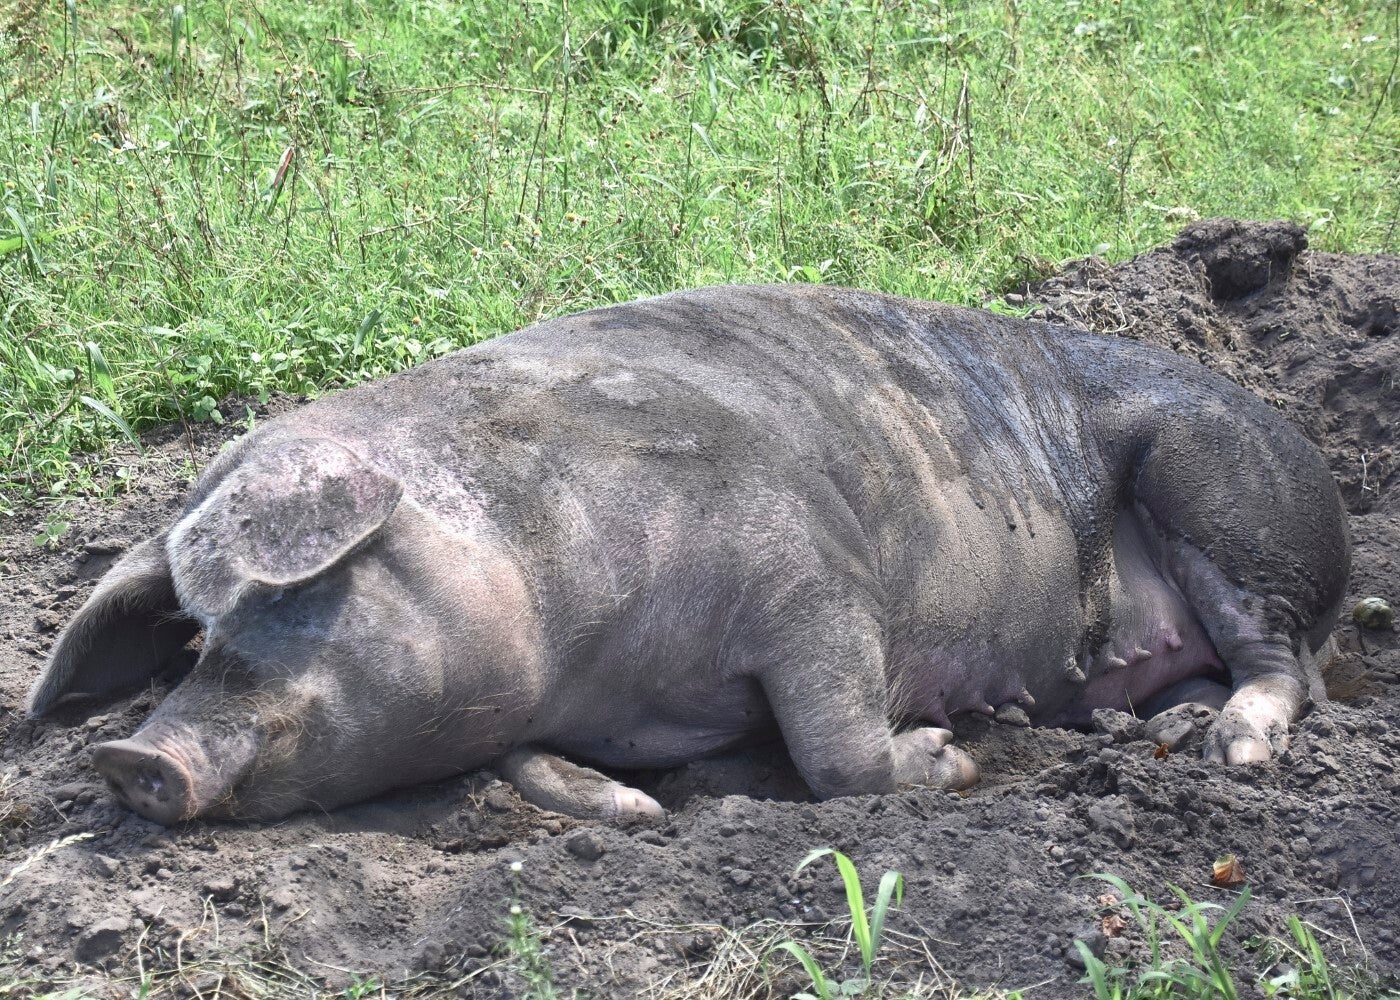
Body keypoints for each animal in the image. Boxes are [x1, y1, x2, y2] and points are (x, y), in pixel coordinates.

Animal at [26, 286, 1350, 825]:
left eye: (282, 600)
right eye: (190, 634)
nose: (133, 759)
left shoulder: (813, 580)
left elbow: (835, 749)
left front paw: (954, 763)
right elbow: (536, 766)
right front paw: (633, 805)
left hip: (1228, 496)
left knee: (1284, 661)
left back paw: (1227, 751)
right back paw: (1163, 730)